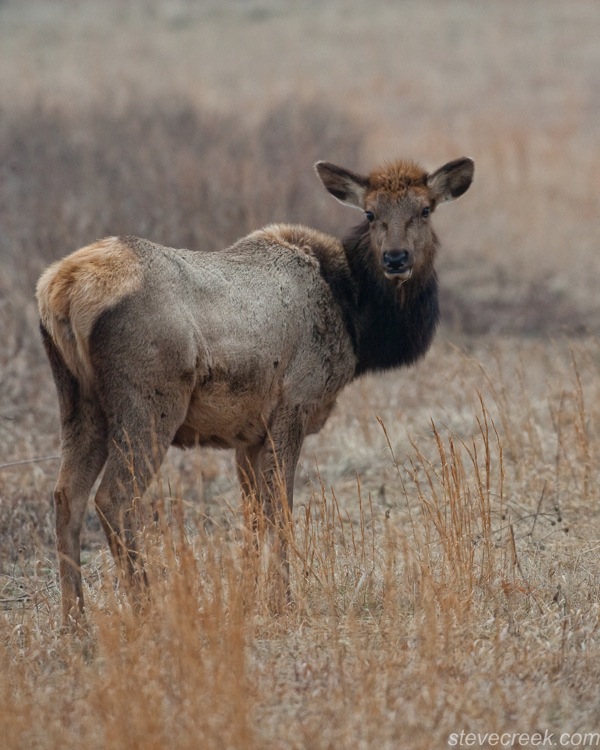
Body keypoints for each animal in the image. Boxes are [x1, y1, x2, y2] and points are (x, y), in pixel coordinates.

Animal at [36, 156, 474, 626]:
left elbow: (252, 517)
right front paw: (283, 599)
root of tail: (61, 290)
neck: (358, 324)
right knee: (115, 497)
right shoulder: (295, 403)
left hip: (78, 403)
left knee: (66, 496)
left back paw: (74, 619)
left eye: (425, 209)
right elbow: (279, 509)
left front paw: (250, 600)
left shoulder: (247, 433)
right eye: (371, 213)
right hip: (149, 403)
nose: (396, 258)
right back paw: (147, 609)